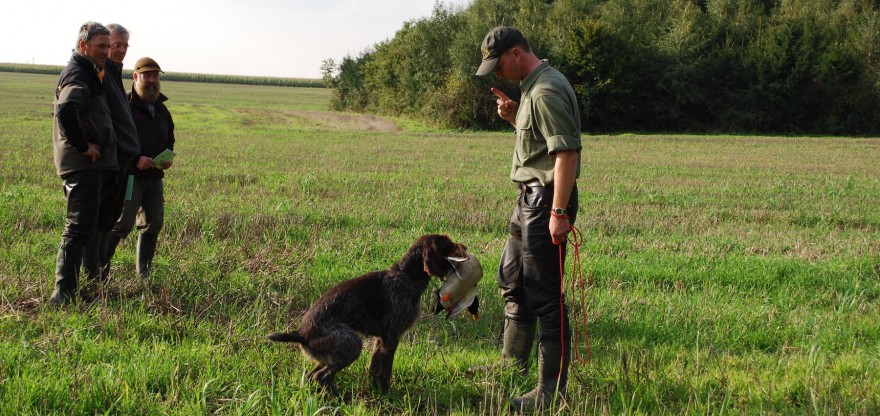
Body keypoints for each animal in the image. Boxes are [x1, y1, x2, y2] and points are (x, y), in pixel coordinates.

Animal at [266, 234, 468, 396]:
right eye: (448, 244)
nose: (465, 248)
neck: (407, 276)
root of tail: (300, 333)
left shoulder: (381, 339)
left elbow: (374, 366)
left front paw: (375, 389)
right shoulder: (392, 337)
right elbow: (385, 370)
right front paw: (386, 394)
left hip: (326, 355)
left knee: (311, 375)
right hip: (351, 343)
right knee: (321, 377)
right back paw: (339, 399)